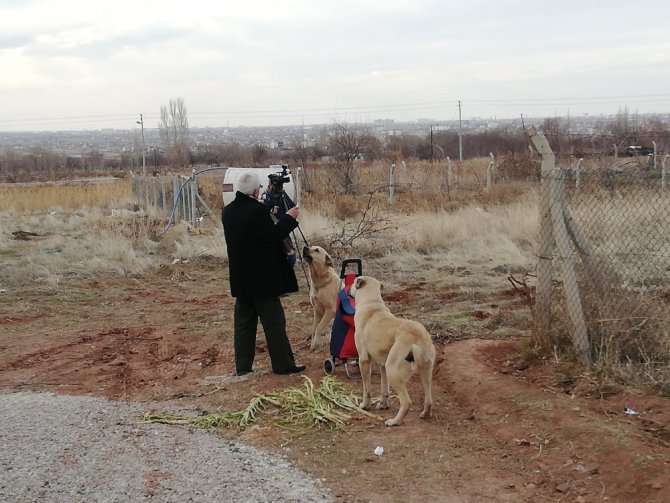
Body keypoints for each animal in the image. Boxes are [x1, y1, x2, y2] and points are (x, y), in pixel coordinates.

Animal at [350, 276, 438, 426]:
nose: (346, 290)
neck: (372, 302)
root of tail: (420, 338)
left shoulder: (364, 360)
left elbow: (366, 389)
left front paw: (365, 405)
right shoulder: (382, 365)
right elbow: (384, 389)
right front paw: (383, 404)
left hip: (393, 372)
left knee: (407, 402)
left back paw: (394, 421)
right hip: (425, 373)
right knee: (429, 399)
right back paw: (425, 414)